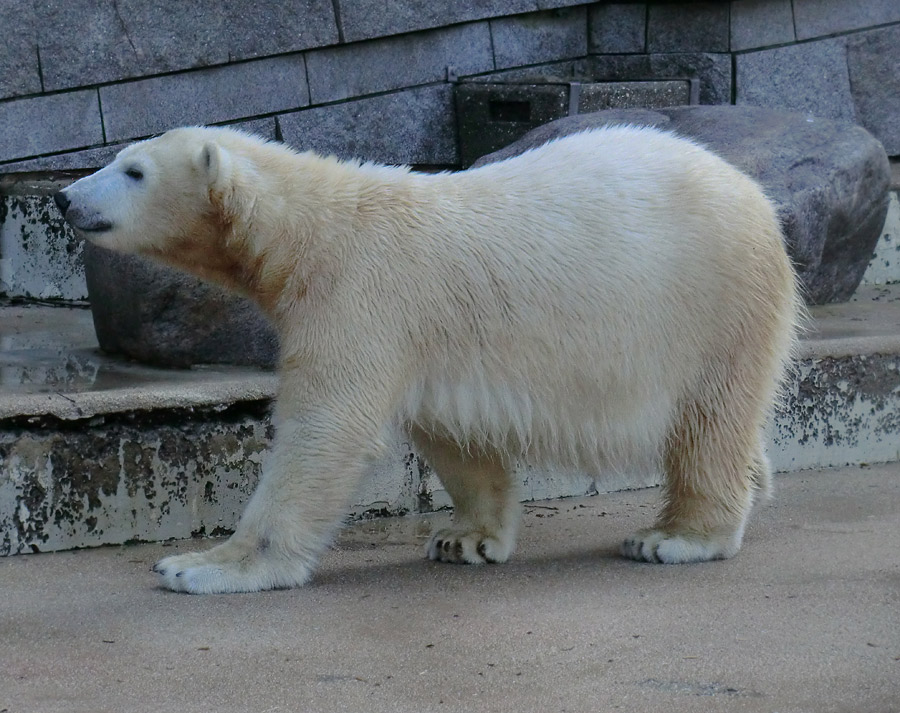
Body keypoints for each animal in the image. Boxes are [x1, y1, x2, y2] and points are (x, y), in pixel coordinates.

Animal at [54, 125, 800, 592]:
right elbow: (455, 436)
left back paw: (675, 536)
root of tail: (758, 199)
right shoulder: (432, 337)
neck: (311, 232)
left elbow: (324, 431)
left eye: (133, 170)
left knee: (709, 419)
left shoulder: (361, 298)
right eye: (119, 158)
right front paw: (464, 539)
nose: (64, 196)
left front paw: (202, 565)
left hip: (711, 302)